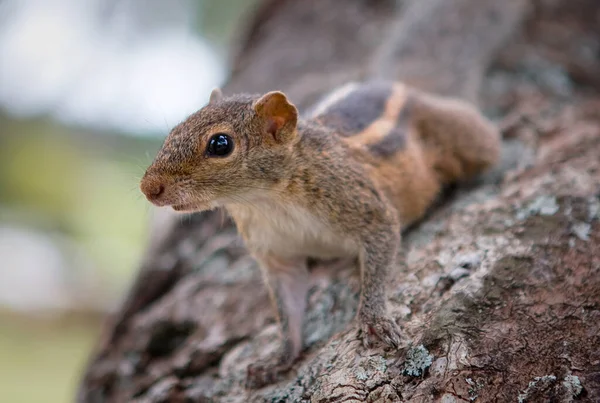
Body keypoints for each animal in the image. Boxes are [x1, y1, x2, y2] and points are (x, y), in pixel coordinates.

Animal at [141, 79, 502, 388]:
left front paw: (374, 321)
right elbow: (288, 308)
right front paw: (279, 359)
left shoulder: (366, 207)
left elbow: (379, 251)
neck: (264, 201)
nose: (148, 188)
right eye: (174, 131)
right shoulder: (277, 256)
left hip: (465, 139)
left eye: (220, 144)